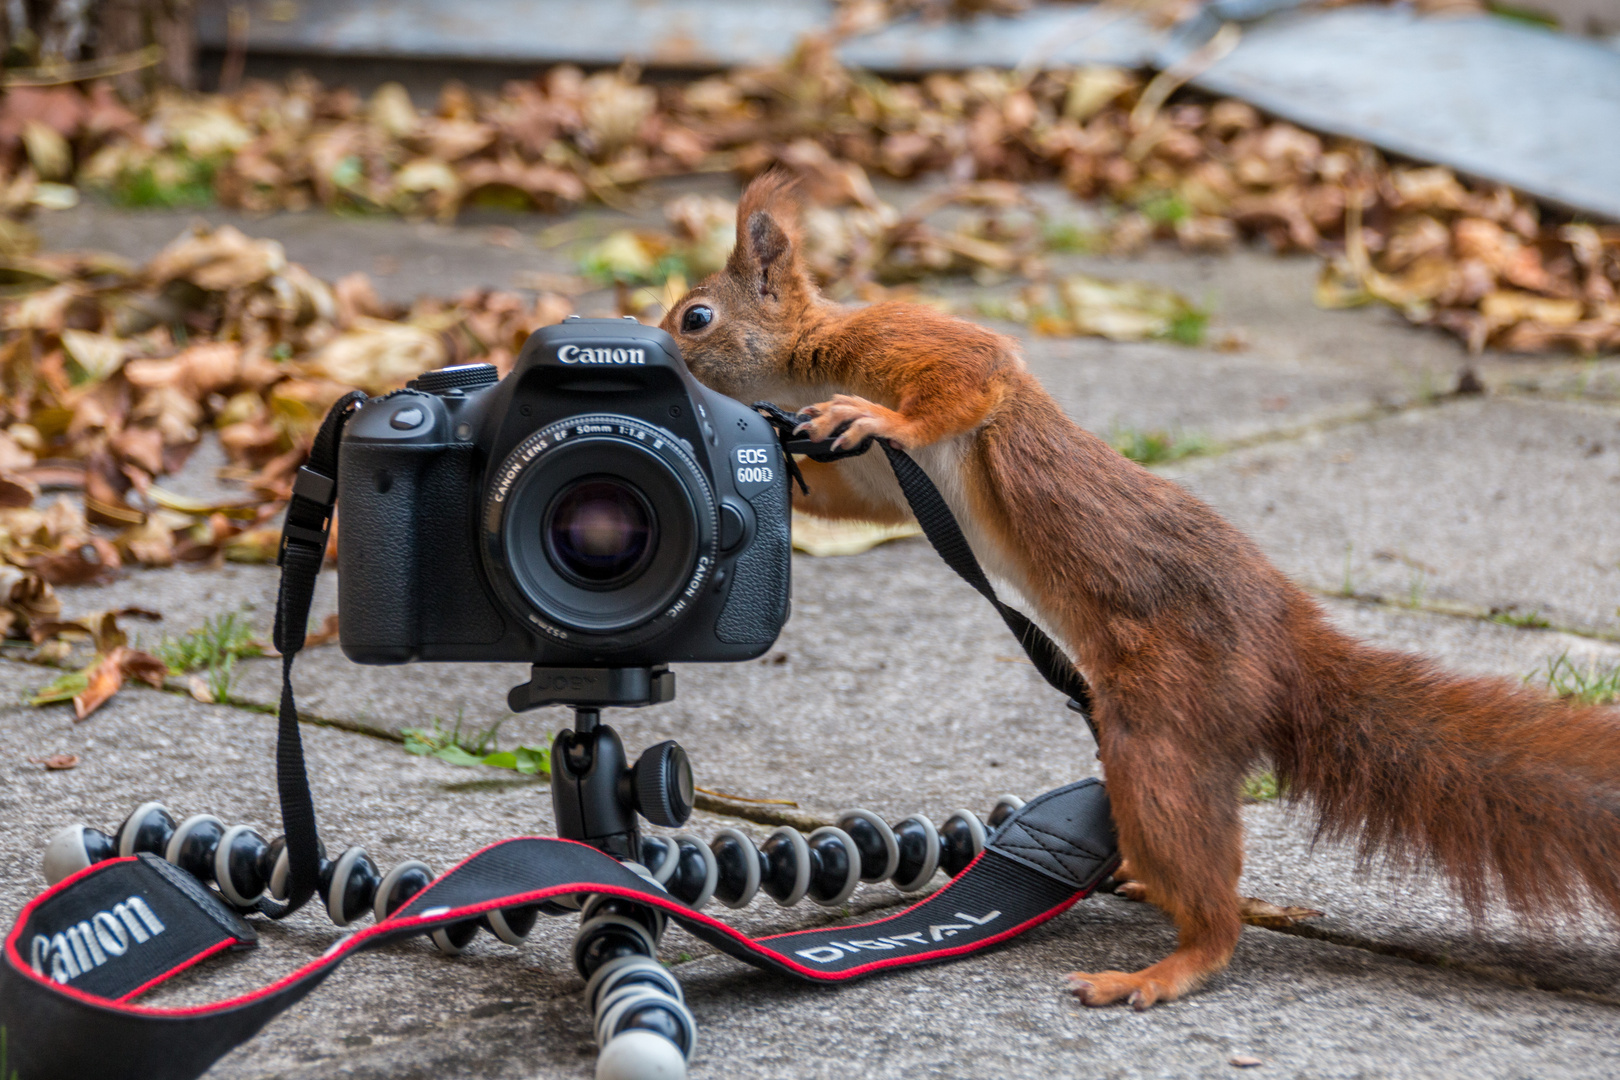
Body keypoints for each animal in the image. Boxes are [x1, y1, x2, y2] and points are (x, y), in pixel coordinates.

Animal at [654, 175, 1620, 1016]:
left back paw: (1168, 965)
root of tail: (1284, 650)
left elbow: (969, 374)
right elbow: (846, 501)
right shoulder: (876, 488)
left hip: (1157, 726)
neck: (794, 377)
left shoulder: (899, 341)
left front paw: (878, 418)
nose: (652, 352)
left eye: (696, 316)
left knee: (1207, 893)